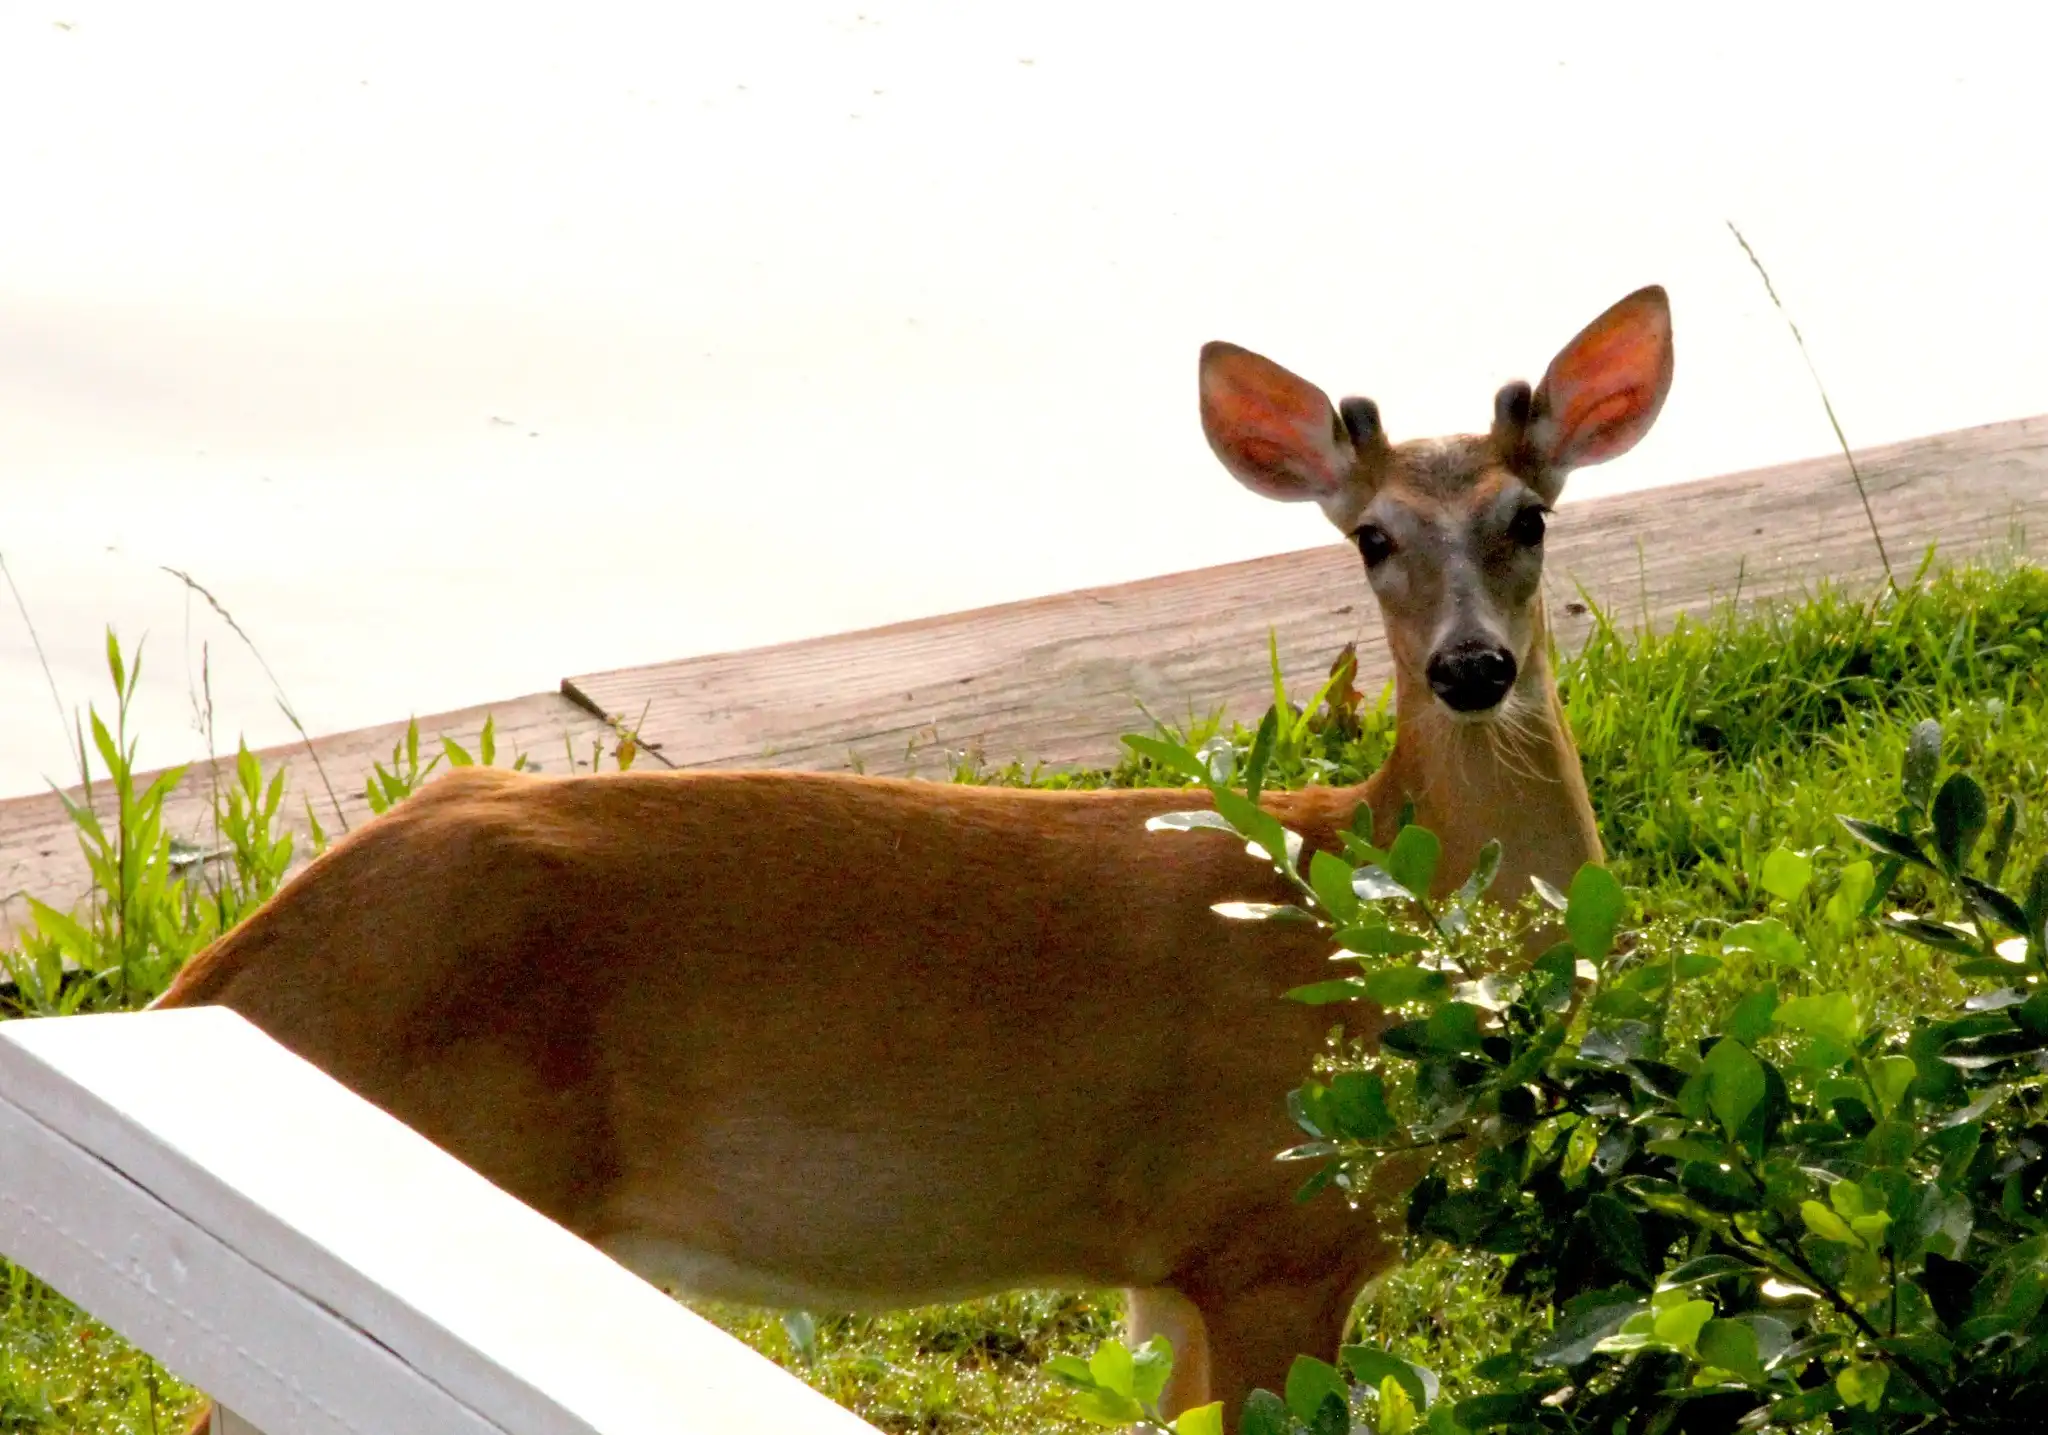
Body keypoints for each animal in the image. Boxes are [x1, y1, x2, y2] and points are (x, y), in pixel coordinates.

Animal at [155, 284, 1662, 1424]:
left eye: (1529, 518)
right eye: (1371, 537)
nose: (1470, 668)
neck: (1368, 900)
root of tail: (214, 977)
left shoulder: (1168, 1260)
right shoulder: (1267, 1225)